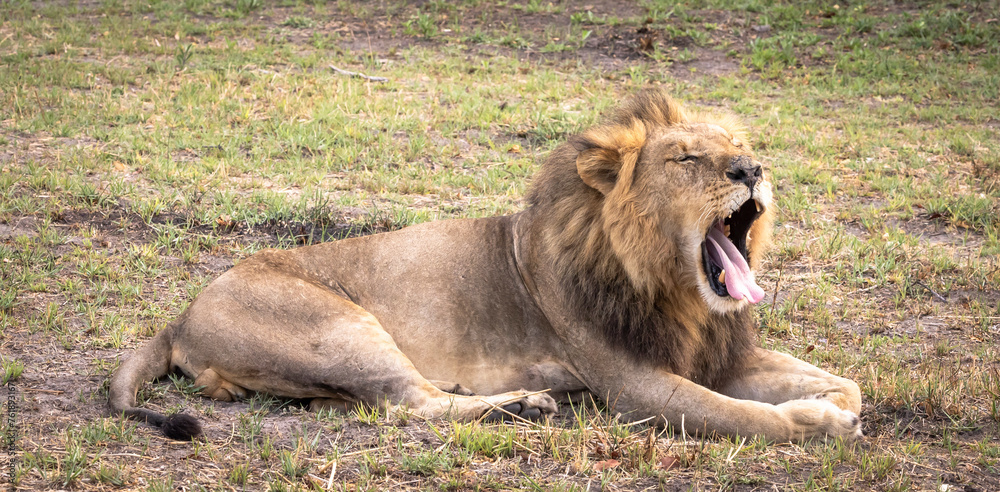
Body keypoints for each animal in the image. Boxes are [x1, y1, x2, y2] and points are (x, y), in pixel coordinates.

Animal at [109, 90, 862, 443]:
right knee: (407, 405)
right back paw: (524, 405)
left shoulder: (715, 352)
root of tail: (180, 317)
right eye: (685, 158)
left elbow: (842, 382)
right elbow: (743, 417)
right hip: (340, 326)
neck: (676, 294)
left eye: (737, 145)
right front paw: (818, 424)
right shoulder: (635, 384)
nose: (752, 169)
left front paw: (832, 401)